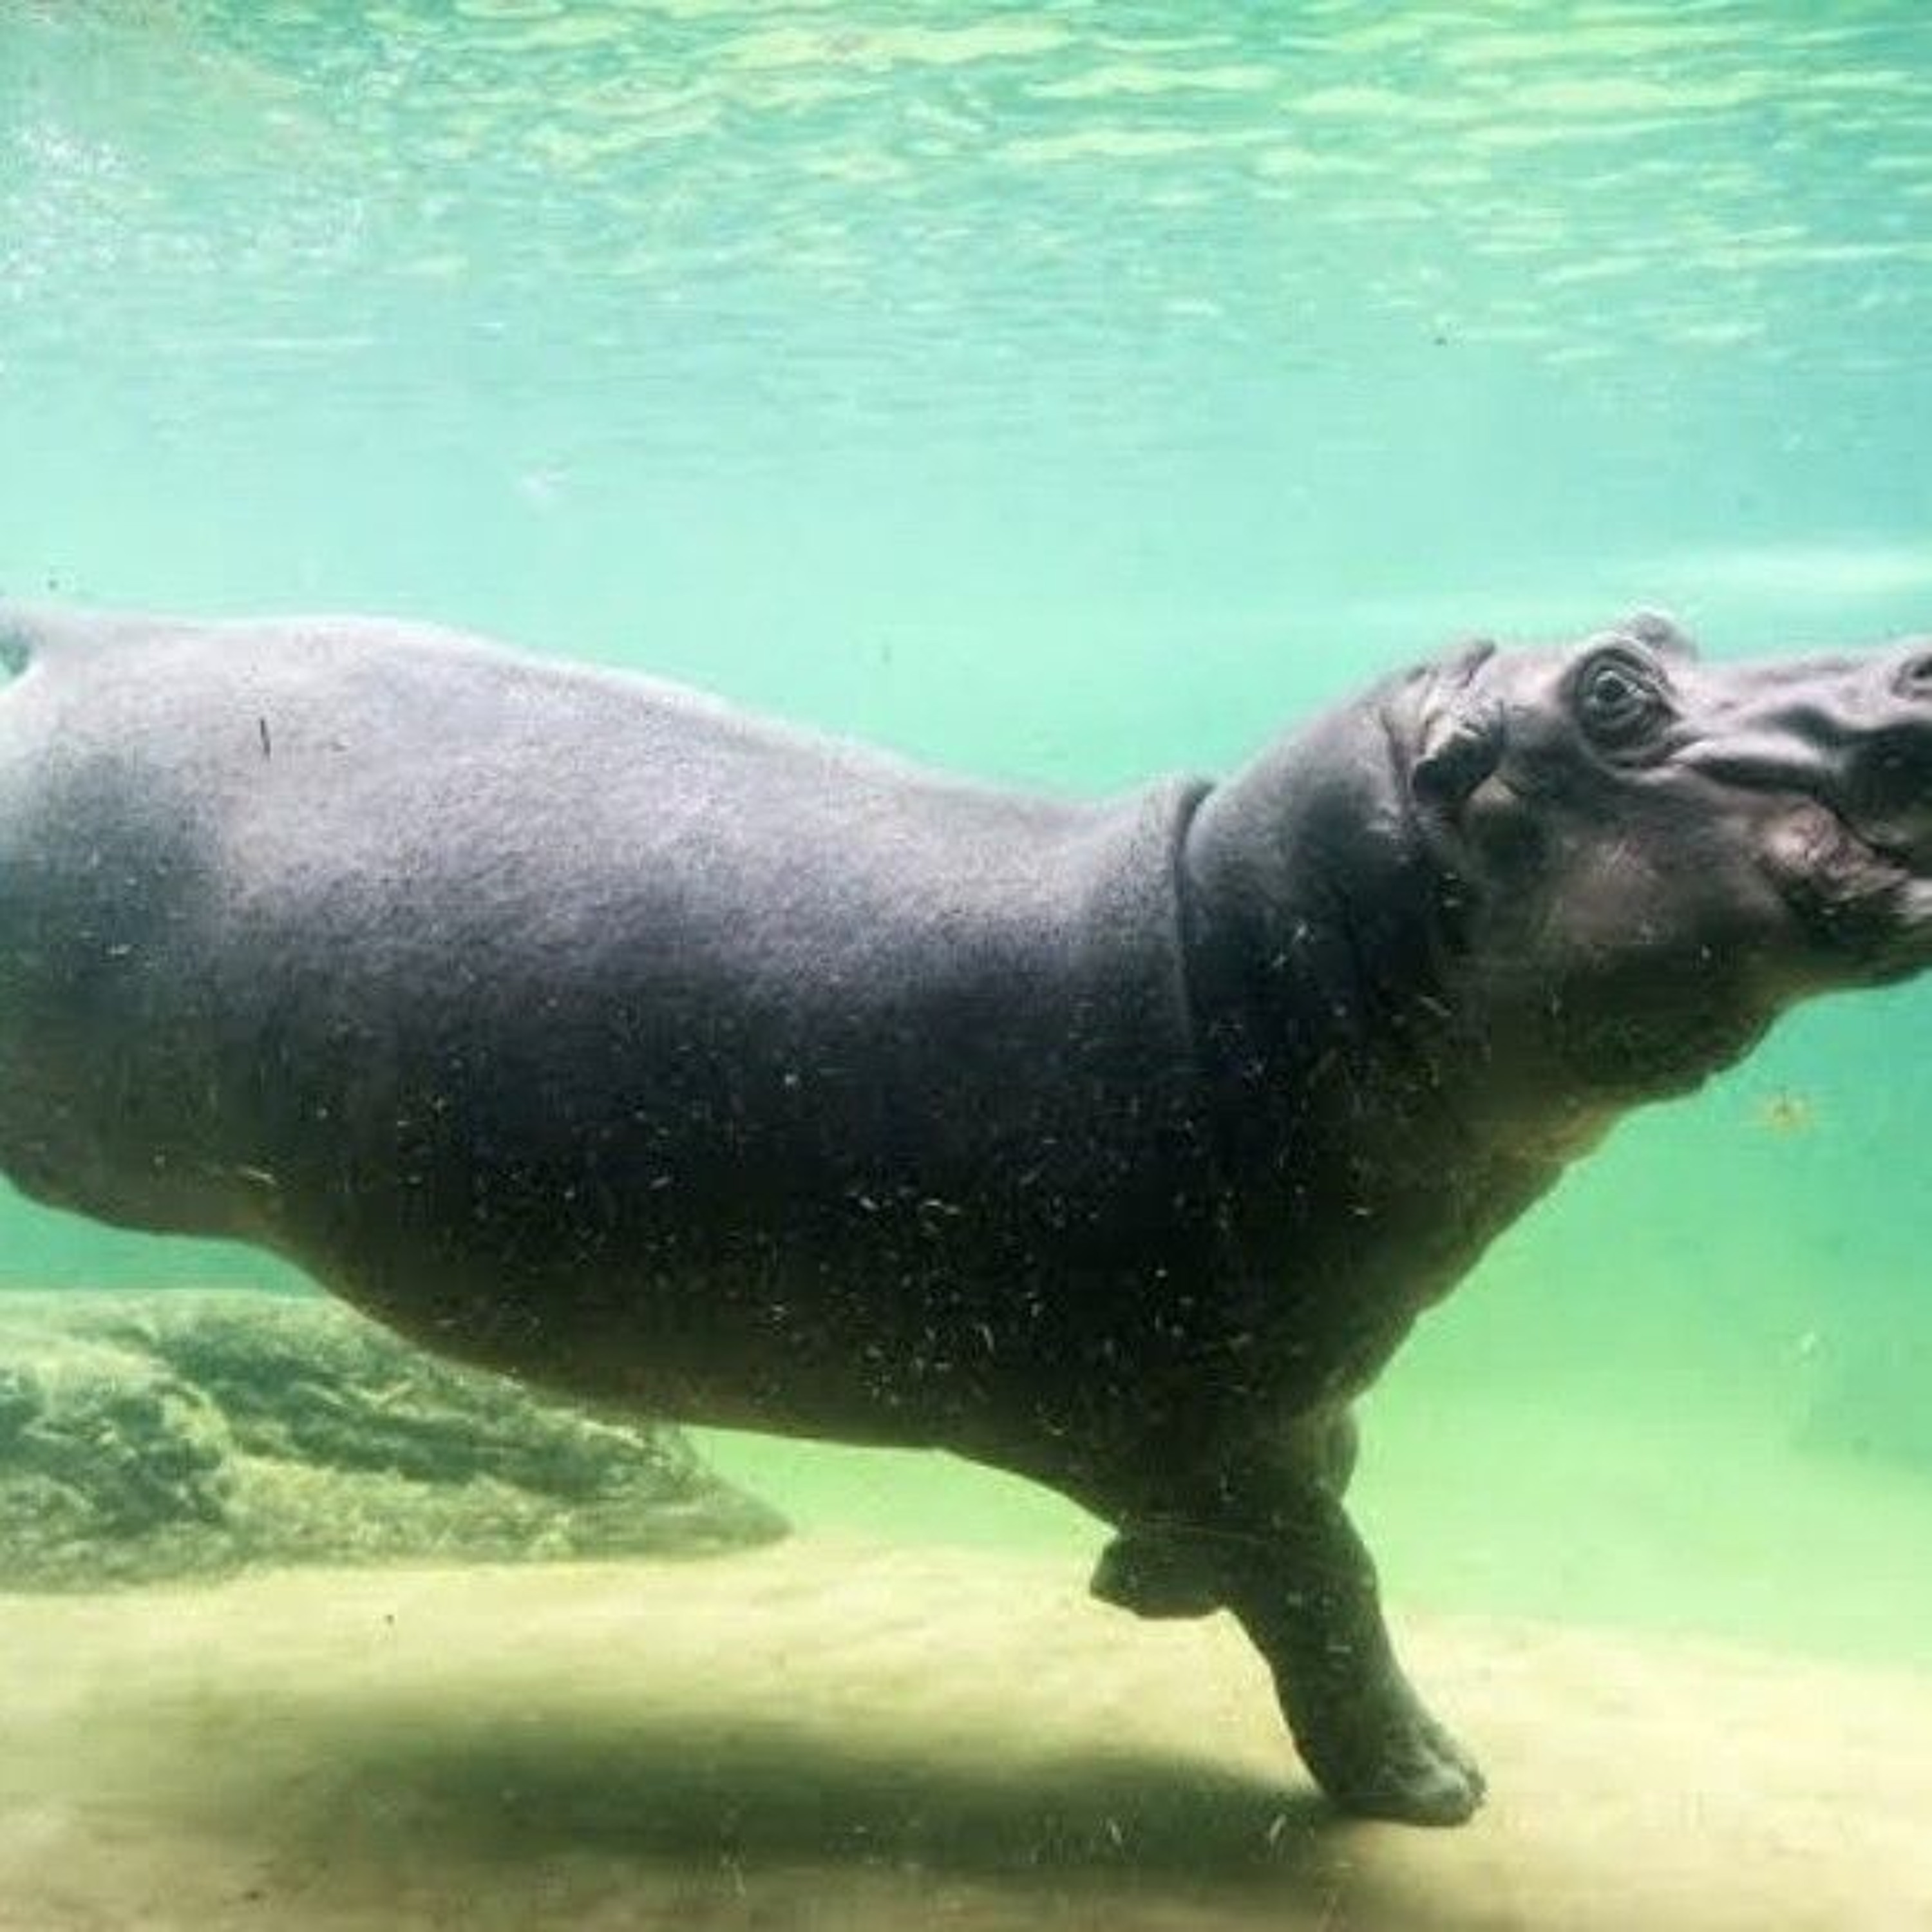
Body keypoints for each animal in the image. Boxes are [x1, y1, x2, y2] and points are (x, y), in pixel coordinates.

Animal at [2, 602, 1929, 1827]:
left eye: (1669, 628)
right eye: (1610, 691)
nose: (1911, 654)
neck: (1271, 950)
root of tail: (77, 627)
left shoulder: (1286, 1394)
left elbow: (1333, 1483)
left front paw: (1140, 1593)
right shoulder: (1194, 1421)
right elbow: (1332, 1584)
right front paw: (1434, 1786)